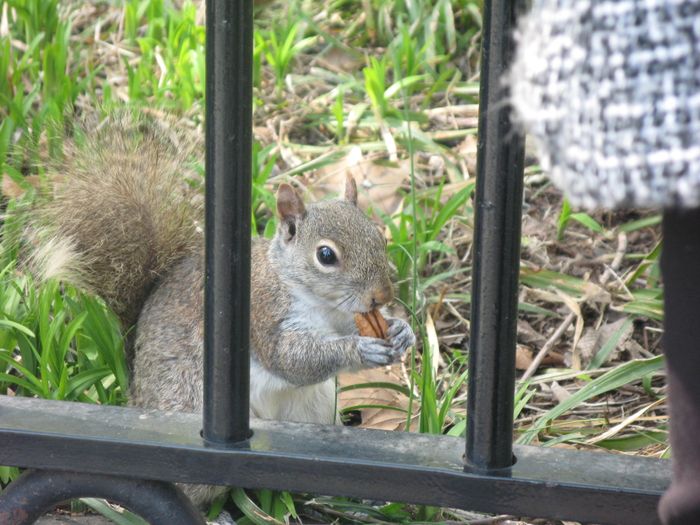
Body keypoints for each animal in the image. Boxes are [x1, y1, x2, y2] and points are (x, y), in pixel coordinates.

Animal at [26, 112, 416, 506]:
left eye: (378, 236)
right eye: (325, 255)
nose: (382, 295)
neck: (315, 300)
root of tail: (136, 394)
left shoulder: (345, 316)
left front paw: (401, 331)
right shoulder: (262, 313)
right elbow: (290, 358)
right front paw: (359, 349)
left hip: (314, 410)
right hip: (188, 405)